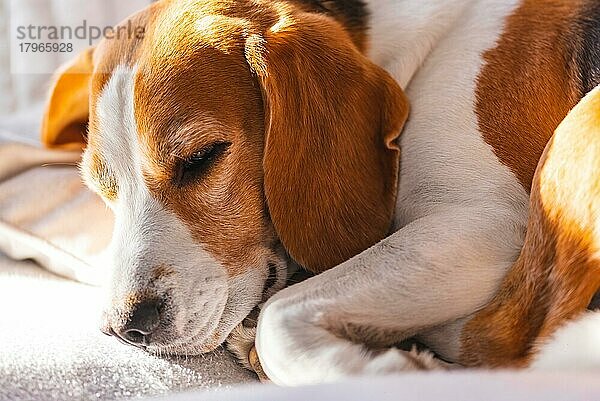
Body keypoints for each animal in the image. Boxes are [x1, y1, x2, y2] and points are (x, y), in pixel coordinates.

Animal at [41, 0, 600, 384]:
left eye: (202, 158)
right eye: (102, 189)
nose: (126, 328)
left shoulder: (480, 224)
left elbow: (279, 317)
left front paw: (389, 374)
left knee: (507, 337)